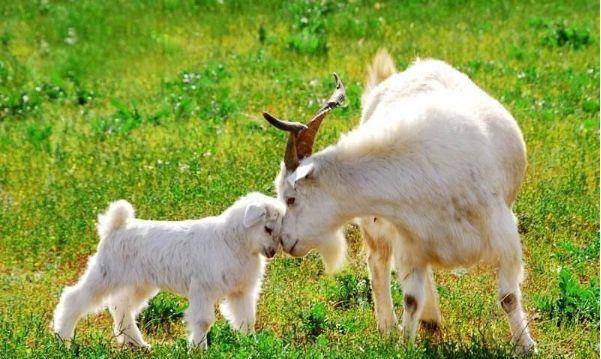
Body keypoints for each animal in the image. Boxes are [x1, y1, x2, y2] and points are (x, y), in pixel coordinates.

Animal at [52, 193, 284, 350]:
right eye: (267, 228)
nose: (273, 252)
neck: (232, 240)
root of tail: (116, 226)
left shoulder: (241, 291)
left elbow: (247, 319)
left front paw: (251, 344)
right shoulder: (202, 289)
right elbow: (203, 321)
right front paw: (199, 349)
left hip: (139, 284)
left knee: (121, 307)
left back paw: (137, 344)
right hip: (105, 275)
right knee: (74, 299)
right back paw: (63, 339)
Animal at [262, 49, 536, 352]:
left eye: (291, 198)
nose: (284, 242)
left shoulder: (503, 235)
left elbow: (508, 296)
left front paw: (526, 345)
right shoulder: (410, 241)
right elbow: (411, 299)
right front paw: (404, 343)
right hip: (379, 228)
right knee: (377, 264)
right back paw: (392, 324)